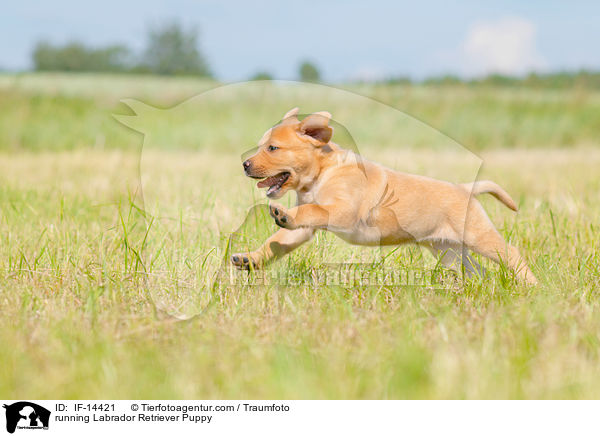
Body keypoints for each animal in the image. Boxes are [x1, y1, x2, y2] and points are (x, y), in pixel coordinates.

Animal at [231, 107, 540, 284]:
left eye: (272, 148)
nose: (244, 165)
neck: (322, 173)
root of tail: (466, 188)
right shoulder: (302, 231)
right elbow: (276, 242)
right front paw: (250, 259)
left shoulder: (342, 211)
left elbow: (312, 210)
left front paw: (282, 213)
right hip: (448, 250)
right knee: (476, 270)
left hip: (478, 236)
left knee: (510, 253)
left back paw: (532, 286)